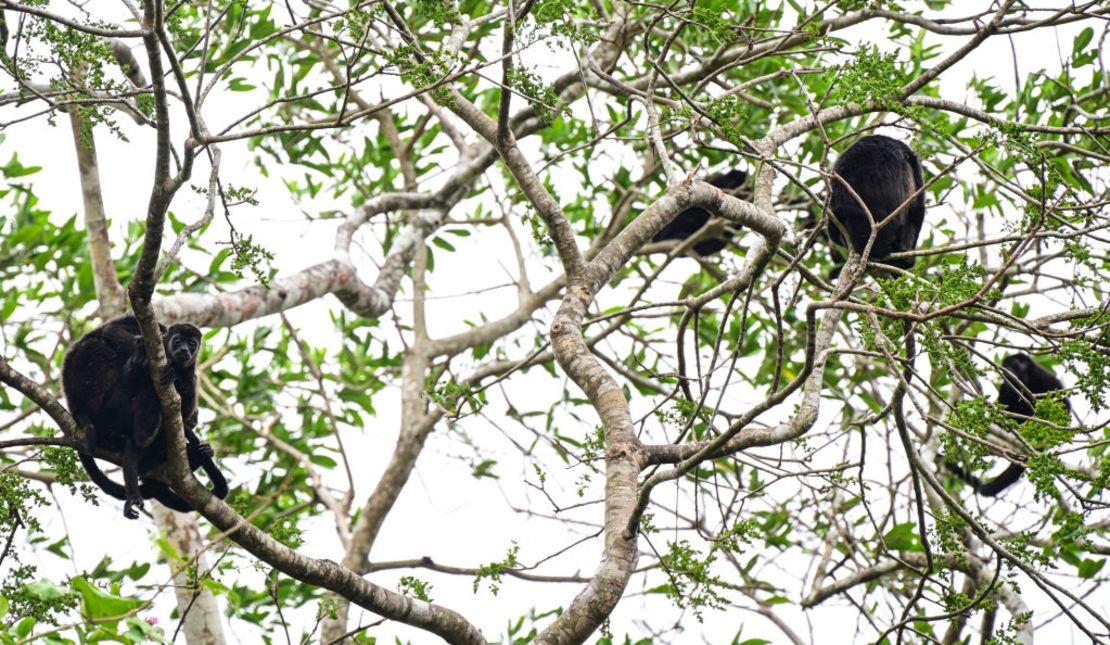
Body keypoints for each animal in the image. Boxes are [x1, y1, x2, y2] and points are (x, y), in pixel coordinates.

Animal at [62, 315, 227, 519]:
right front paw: (143, 355)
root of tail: (74, 406)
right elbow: (112, 330)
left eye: (191, 344)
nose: (184, 350)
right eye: (178, 341)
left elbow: (186, 403)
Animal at [950, 355, 1070, 495]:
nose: (1007, 372)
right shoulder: (1005, 387)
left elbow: (1063, 405)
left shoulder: (1044, 377)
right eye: (1005, 367)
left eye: (1013, 366)